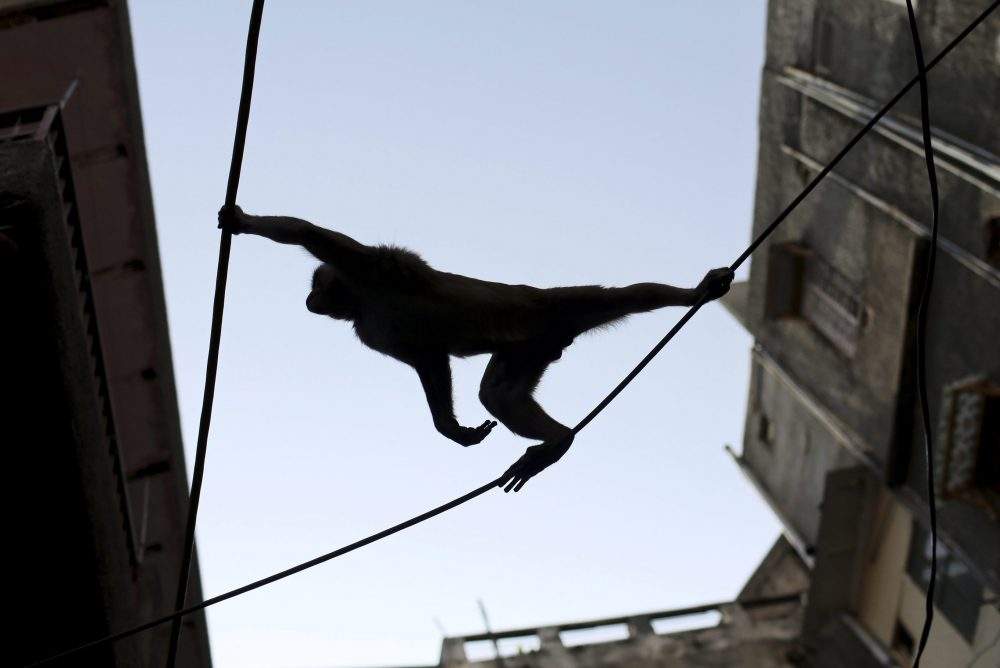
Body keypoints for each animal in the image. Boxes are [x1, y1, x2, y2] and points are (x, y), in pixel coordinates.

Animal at [218, 206, 734, 492]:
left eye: (317, 288)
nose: (309, 301)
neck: (364, 300)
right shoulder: (374, 326)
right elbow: (428, 359)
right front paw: (452, 429)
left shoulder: (376, 265)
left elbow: (310, 234)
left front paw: (242, 221)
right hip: (534, 344)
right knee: (500, 393)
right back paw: (558, 439)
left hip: (546, 309)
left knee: (612, 298)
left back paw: (693, 293)